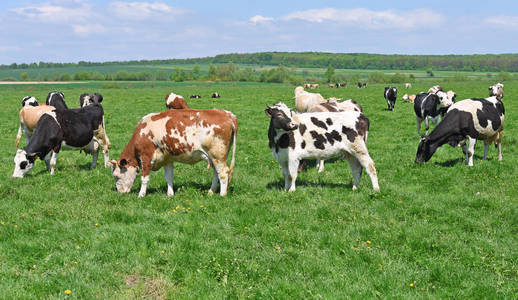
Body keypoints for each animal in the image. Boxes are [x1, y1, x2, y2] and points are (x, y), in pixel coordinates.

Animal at [111, 108, 240, 197]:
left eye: (116, 176)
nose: (120, 192)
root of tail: (227, 114)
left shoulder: (146, 157)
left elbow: (144, 178)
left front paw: (141, 195)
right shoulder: (167, 159)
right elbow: (169, 177)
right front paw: (170, 194)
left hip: (217, 155)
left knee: (223, 173)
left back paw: (222, 195)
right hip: (213, 157)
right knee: (216, 173)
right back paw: (211, 192)